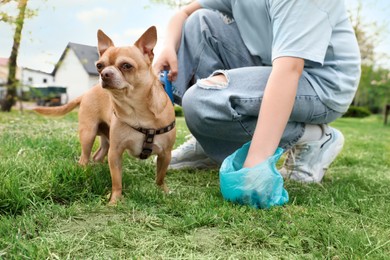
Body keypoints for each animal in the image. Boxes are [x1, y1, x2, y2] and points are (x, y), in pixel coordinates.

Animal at [34, 26, 176, 205]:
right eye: (99, 66)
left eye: (126, 66)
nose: (104, 74)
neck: (136, 109)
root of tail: (87, 92)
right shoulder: (115, 153)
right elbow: (117, 180)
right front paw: (115, 201)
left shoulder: (166, 154)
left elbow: (160, 176)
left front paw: (162, 191)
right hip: (88, 134)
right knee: (85, 157)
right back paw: (85, 172)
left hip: (105, 141)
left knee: (98, 156)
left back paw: (98, 168)